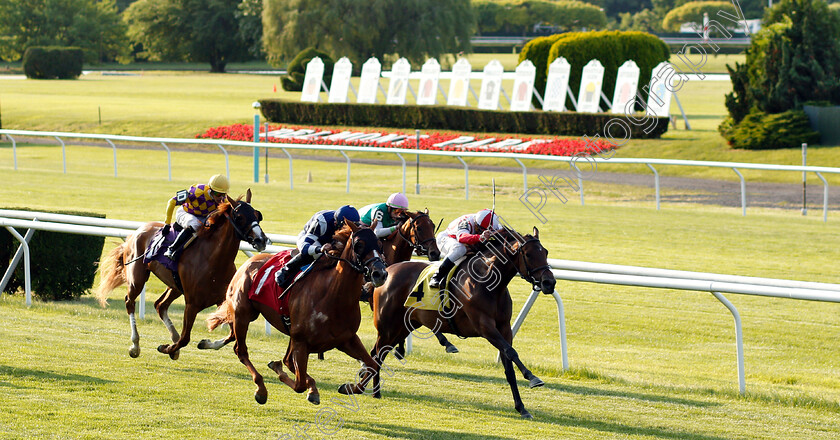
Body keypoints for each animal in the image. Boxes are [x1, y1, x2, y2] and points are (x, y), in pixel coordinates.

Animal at [94, 191, 268, 360]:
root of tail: (137, 231)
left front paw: (204, 343)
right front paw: (167, 348)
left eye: (258, 215)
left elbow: (232, 335)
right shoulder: (192, 304)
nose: (262, 239)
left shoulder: (224, 300)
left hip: (175, 286)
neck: (213, 260)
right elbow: (185, 339)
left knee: (160, 305)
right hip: (137, 278)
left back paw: (172, 338)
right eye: (239, 217)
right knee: (130, 302)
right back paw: (135, 346)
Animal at [203, 220, 388, 406]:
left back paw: (208, 343)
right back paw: (261, 389)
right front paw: (287, 375)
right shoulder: (301, 341)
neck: (332, 296)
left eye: (379, 244)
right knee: (241, 350)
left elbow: (372, 366)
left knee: (239, 339)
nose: (380, 273)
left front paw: (346, 387)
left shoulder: (346, 339)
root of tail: (248, 263)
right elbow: (299, 383)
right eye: (359, 244)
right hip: (243, 314)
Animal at [356, 227, 556, 420]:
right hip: (387, 326)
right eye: (528, 254)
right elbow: (511, 351)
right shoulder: (485, 326)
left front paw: (522, 407)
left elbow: (509, 367)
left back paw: (372, 389)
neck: (489, 283)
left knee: (379, 353)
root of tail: (387, 272)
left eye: (545, 252)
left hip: (404, 326)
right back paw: (369, 388)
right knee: (377, 353)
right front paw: (532, 377)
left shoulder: (505, 329)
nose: (549, 282)